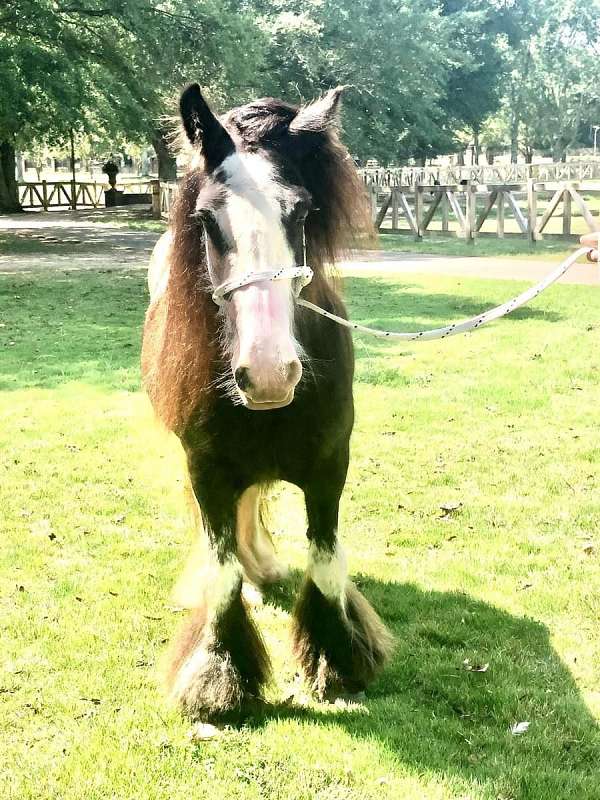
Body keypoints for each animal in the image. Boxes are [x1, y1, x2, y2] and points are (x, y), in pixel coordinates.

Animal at [141, 81, 394, 720]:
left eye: (300, 211)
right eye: (206, 218)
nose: (269, 373)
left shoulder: (331, 467)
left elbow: (325, 561)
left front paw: (337, 658)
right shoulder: (205, 471)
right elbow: (222, 571)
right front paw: (220, 676)